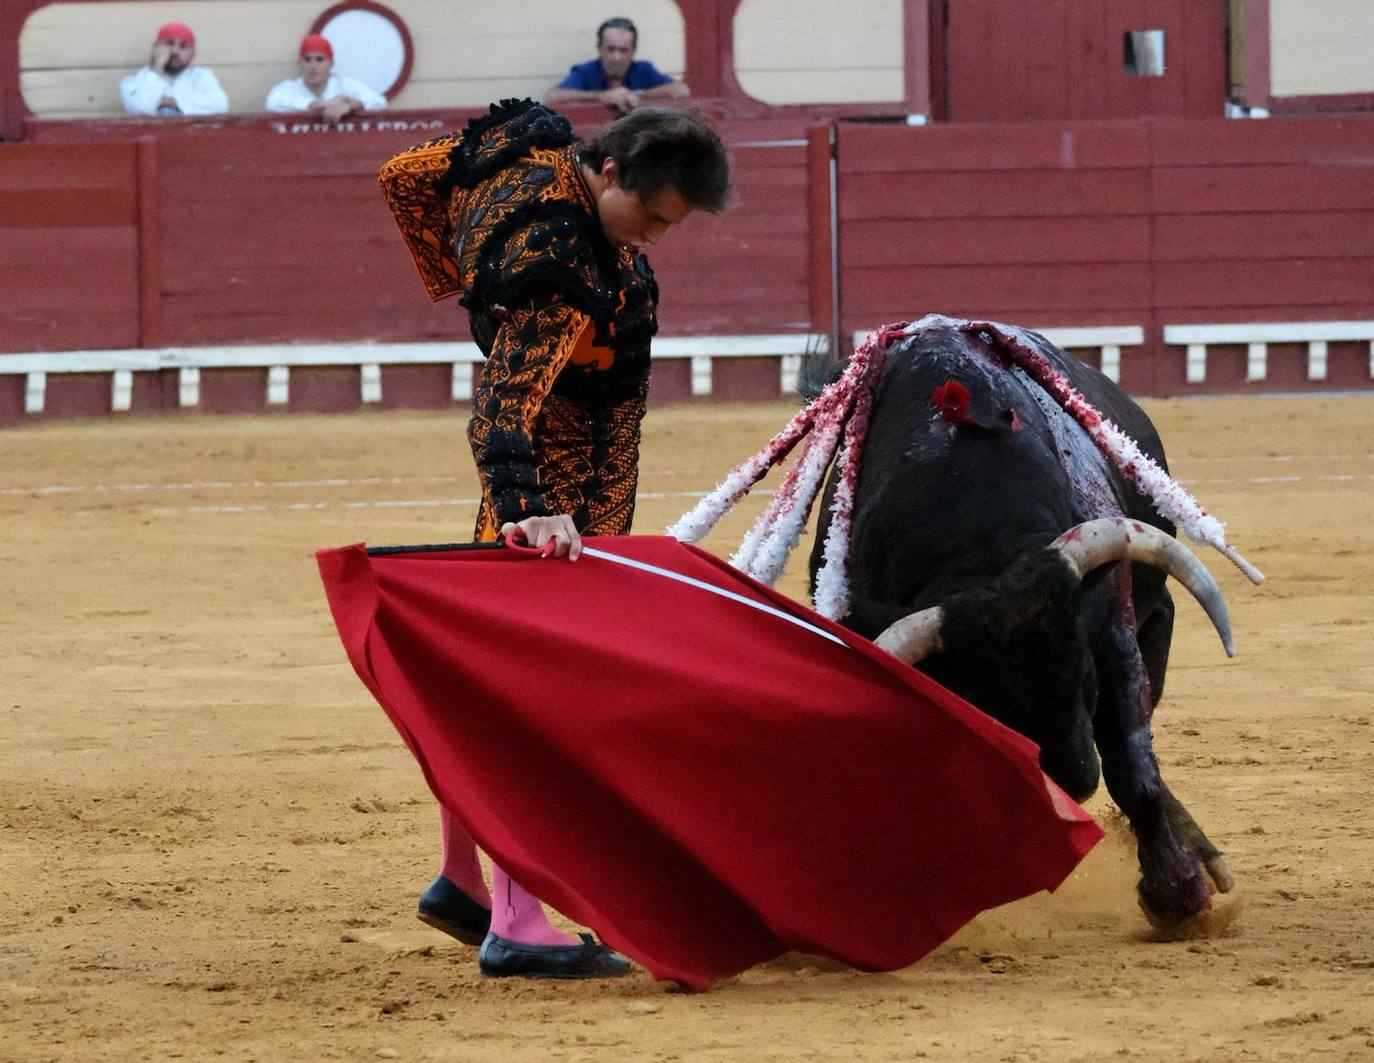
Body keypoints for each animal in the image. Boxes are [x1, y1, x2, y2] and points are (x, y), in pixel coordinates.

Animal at [807, 318, 1242, 933]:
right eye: (994, 711)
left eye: (1087, 682)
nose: (1074, 781)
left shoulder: (1111, 635)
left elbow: (1132, 766)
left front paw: (1177, 896)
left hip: (1157, 617)